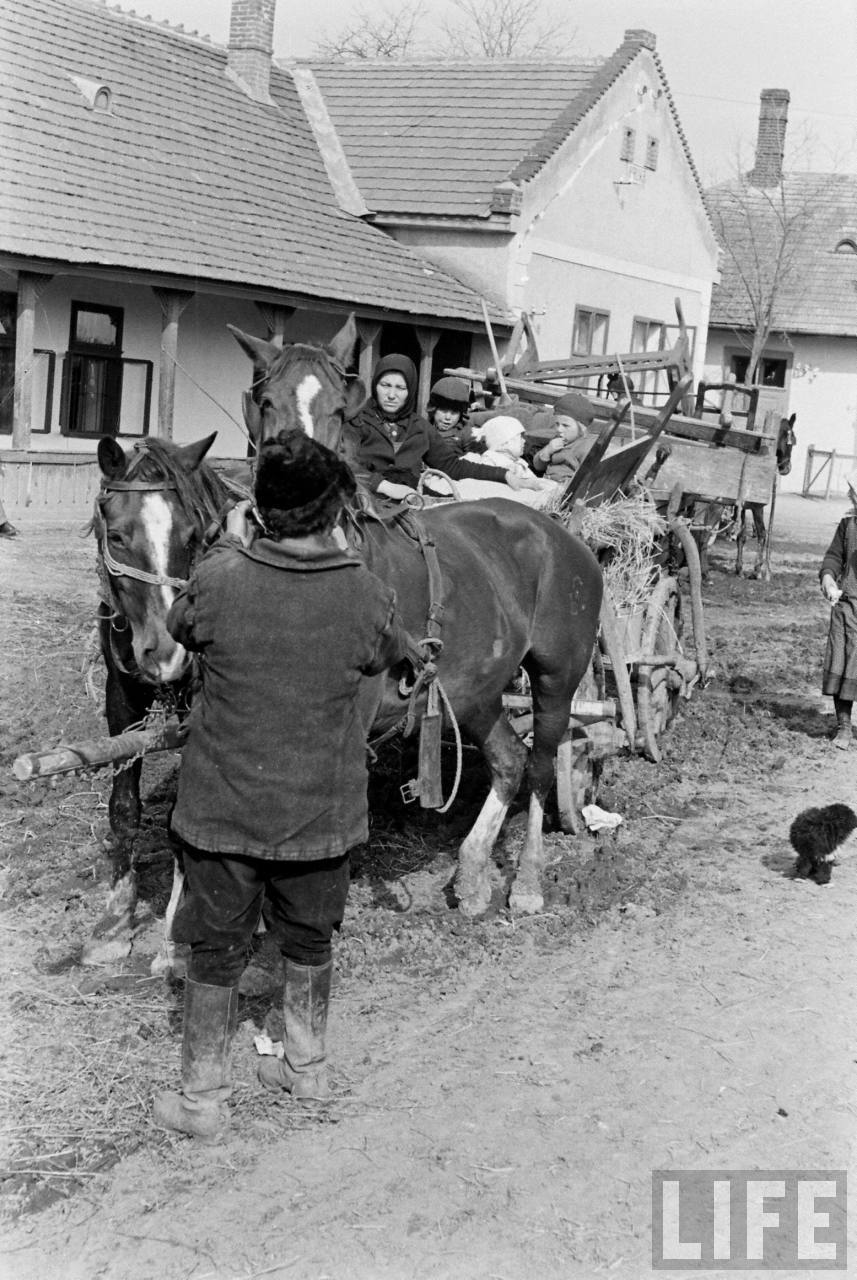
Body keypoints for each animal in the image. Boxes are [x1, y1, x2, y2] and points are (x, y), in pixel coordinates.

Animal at [84, 433, 232, 965]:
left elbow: (183, 819)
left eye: (192, 537)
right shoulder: (121, 698)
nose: (169, 653)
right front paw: (114, 920)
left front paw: (176, 934)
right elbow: (123, 809)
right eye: (118, 537)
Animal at [228, 315, 603, 917]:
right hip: (476, 688)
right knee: (508, 760)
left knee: (543, 765)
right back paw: (472, 875)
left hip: (557, 677)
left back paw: (527, 881)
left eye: (339, 408)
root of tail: (561, 534)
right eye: (265, 402)